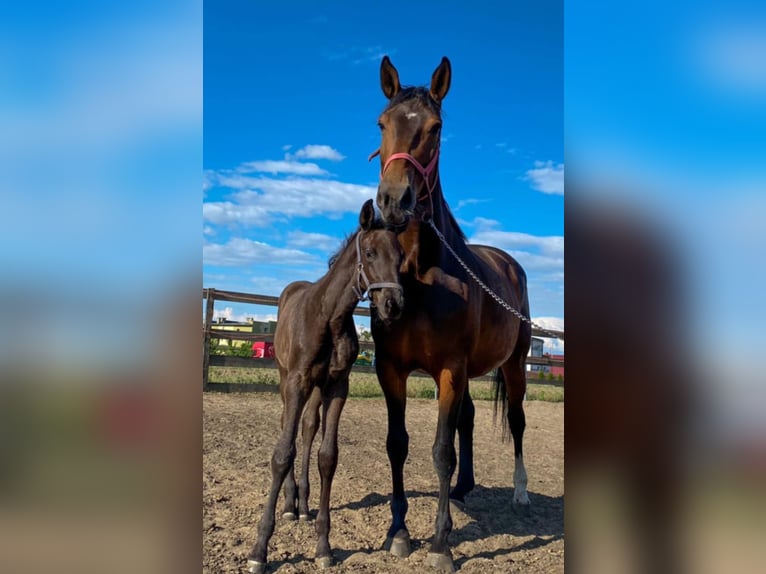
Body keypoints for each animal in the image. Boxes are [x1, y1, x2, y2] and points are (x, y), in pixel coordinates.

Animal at [250, 199, 408, 574]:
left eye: (400, 256)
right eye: (370, 252)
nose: (393, 305)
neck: (328, 316)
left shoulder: (338, 385)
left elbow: (327, 456)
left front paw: (323, 546)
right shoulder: (297, 381)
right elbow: (282, 453)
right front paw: (259, 550)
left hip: (318, 387)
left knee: (309, 426)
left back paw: (304, 505)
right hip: (285, 377)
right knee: (288, 425)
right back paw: (290, 504)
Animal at [368, 56, 532, 572]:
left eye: (436, 128)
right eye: (382, 123)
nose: (392, 201)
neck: (421, 276)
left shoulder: (449, 369)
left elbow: (441, 451)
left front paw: (441, 543)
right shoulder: (391, 368)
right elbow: (397, 444)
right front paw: (398, 531)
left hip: (514, 365)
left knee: (516, 421)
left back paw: (520, 492)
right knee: (470, 419)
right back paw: (462, 491)